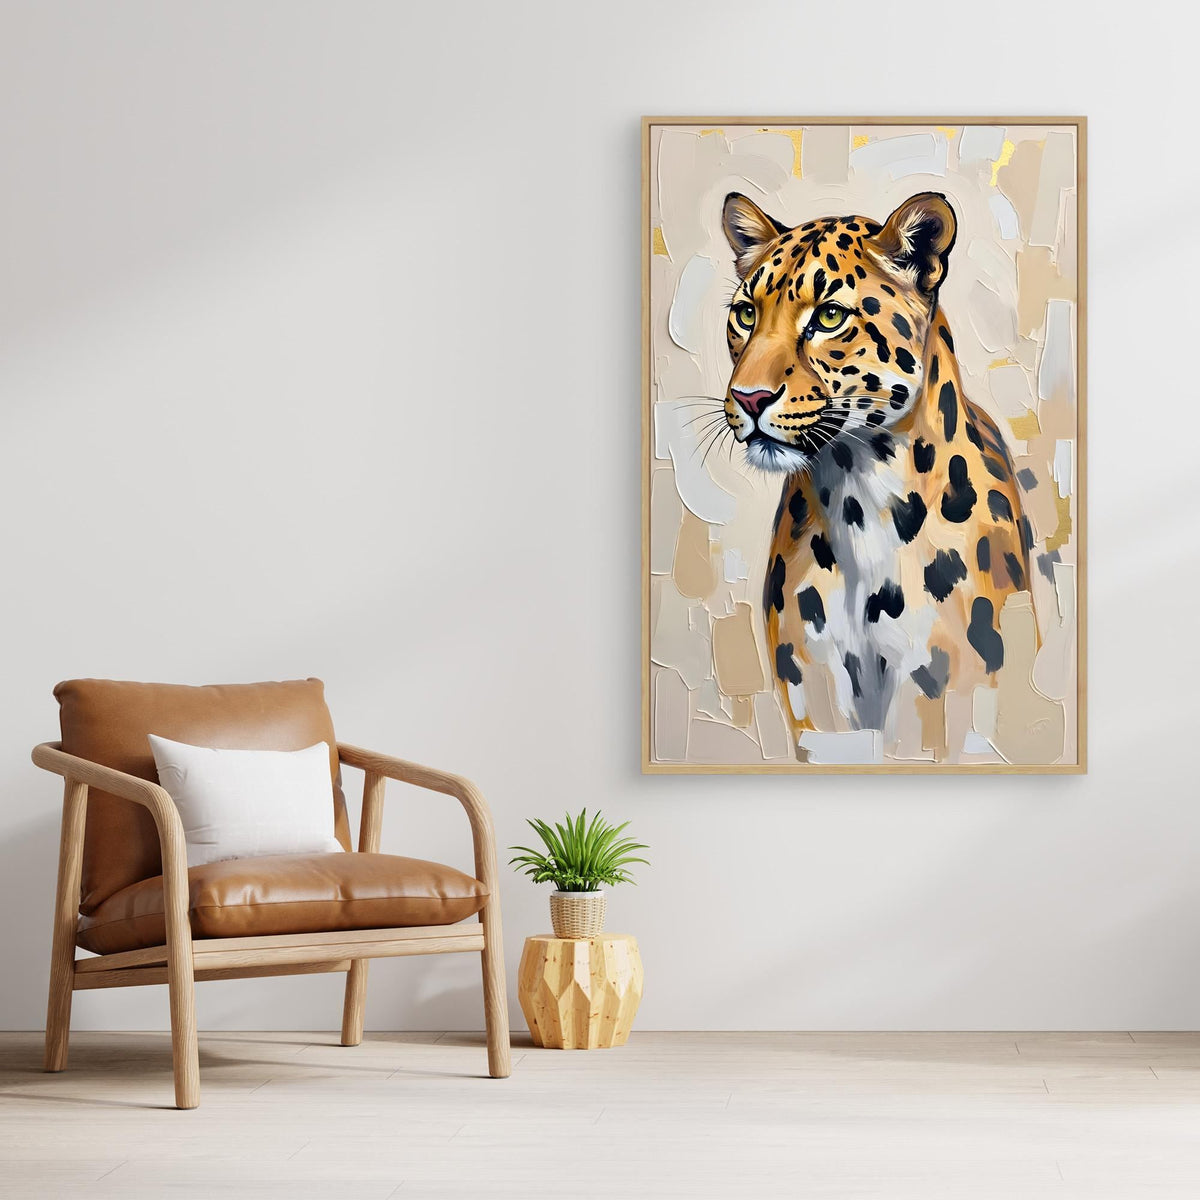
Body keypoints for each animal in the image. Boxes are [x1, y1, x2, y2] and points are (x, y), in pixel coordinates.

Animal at [718, 190, 1033, 760]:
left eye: (829, 316)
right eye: (746, 314)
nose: (749, 398)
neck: (856, 497)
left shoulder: (940, 693)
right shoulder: (814, 696)